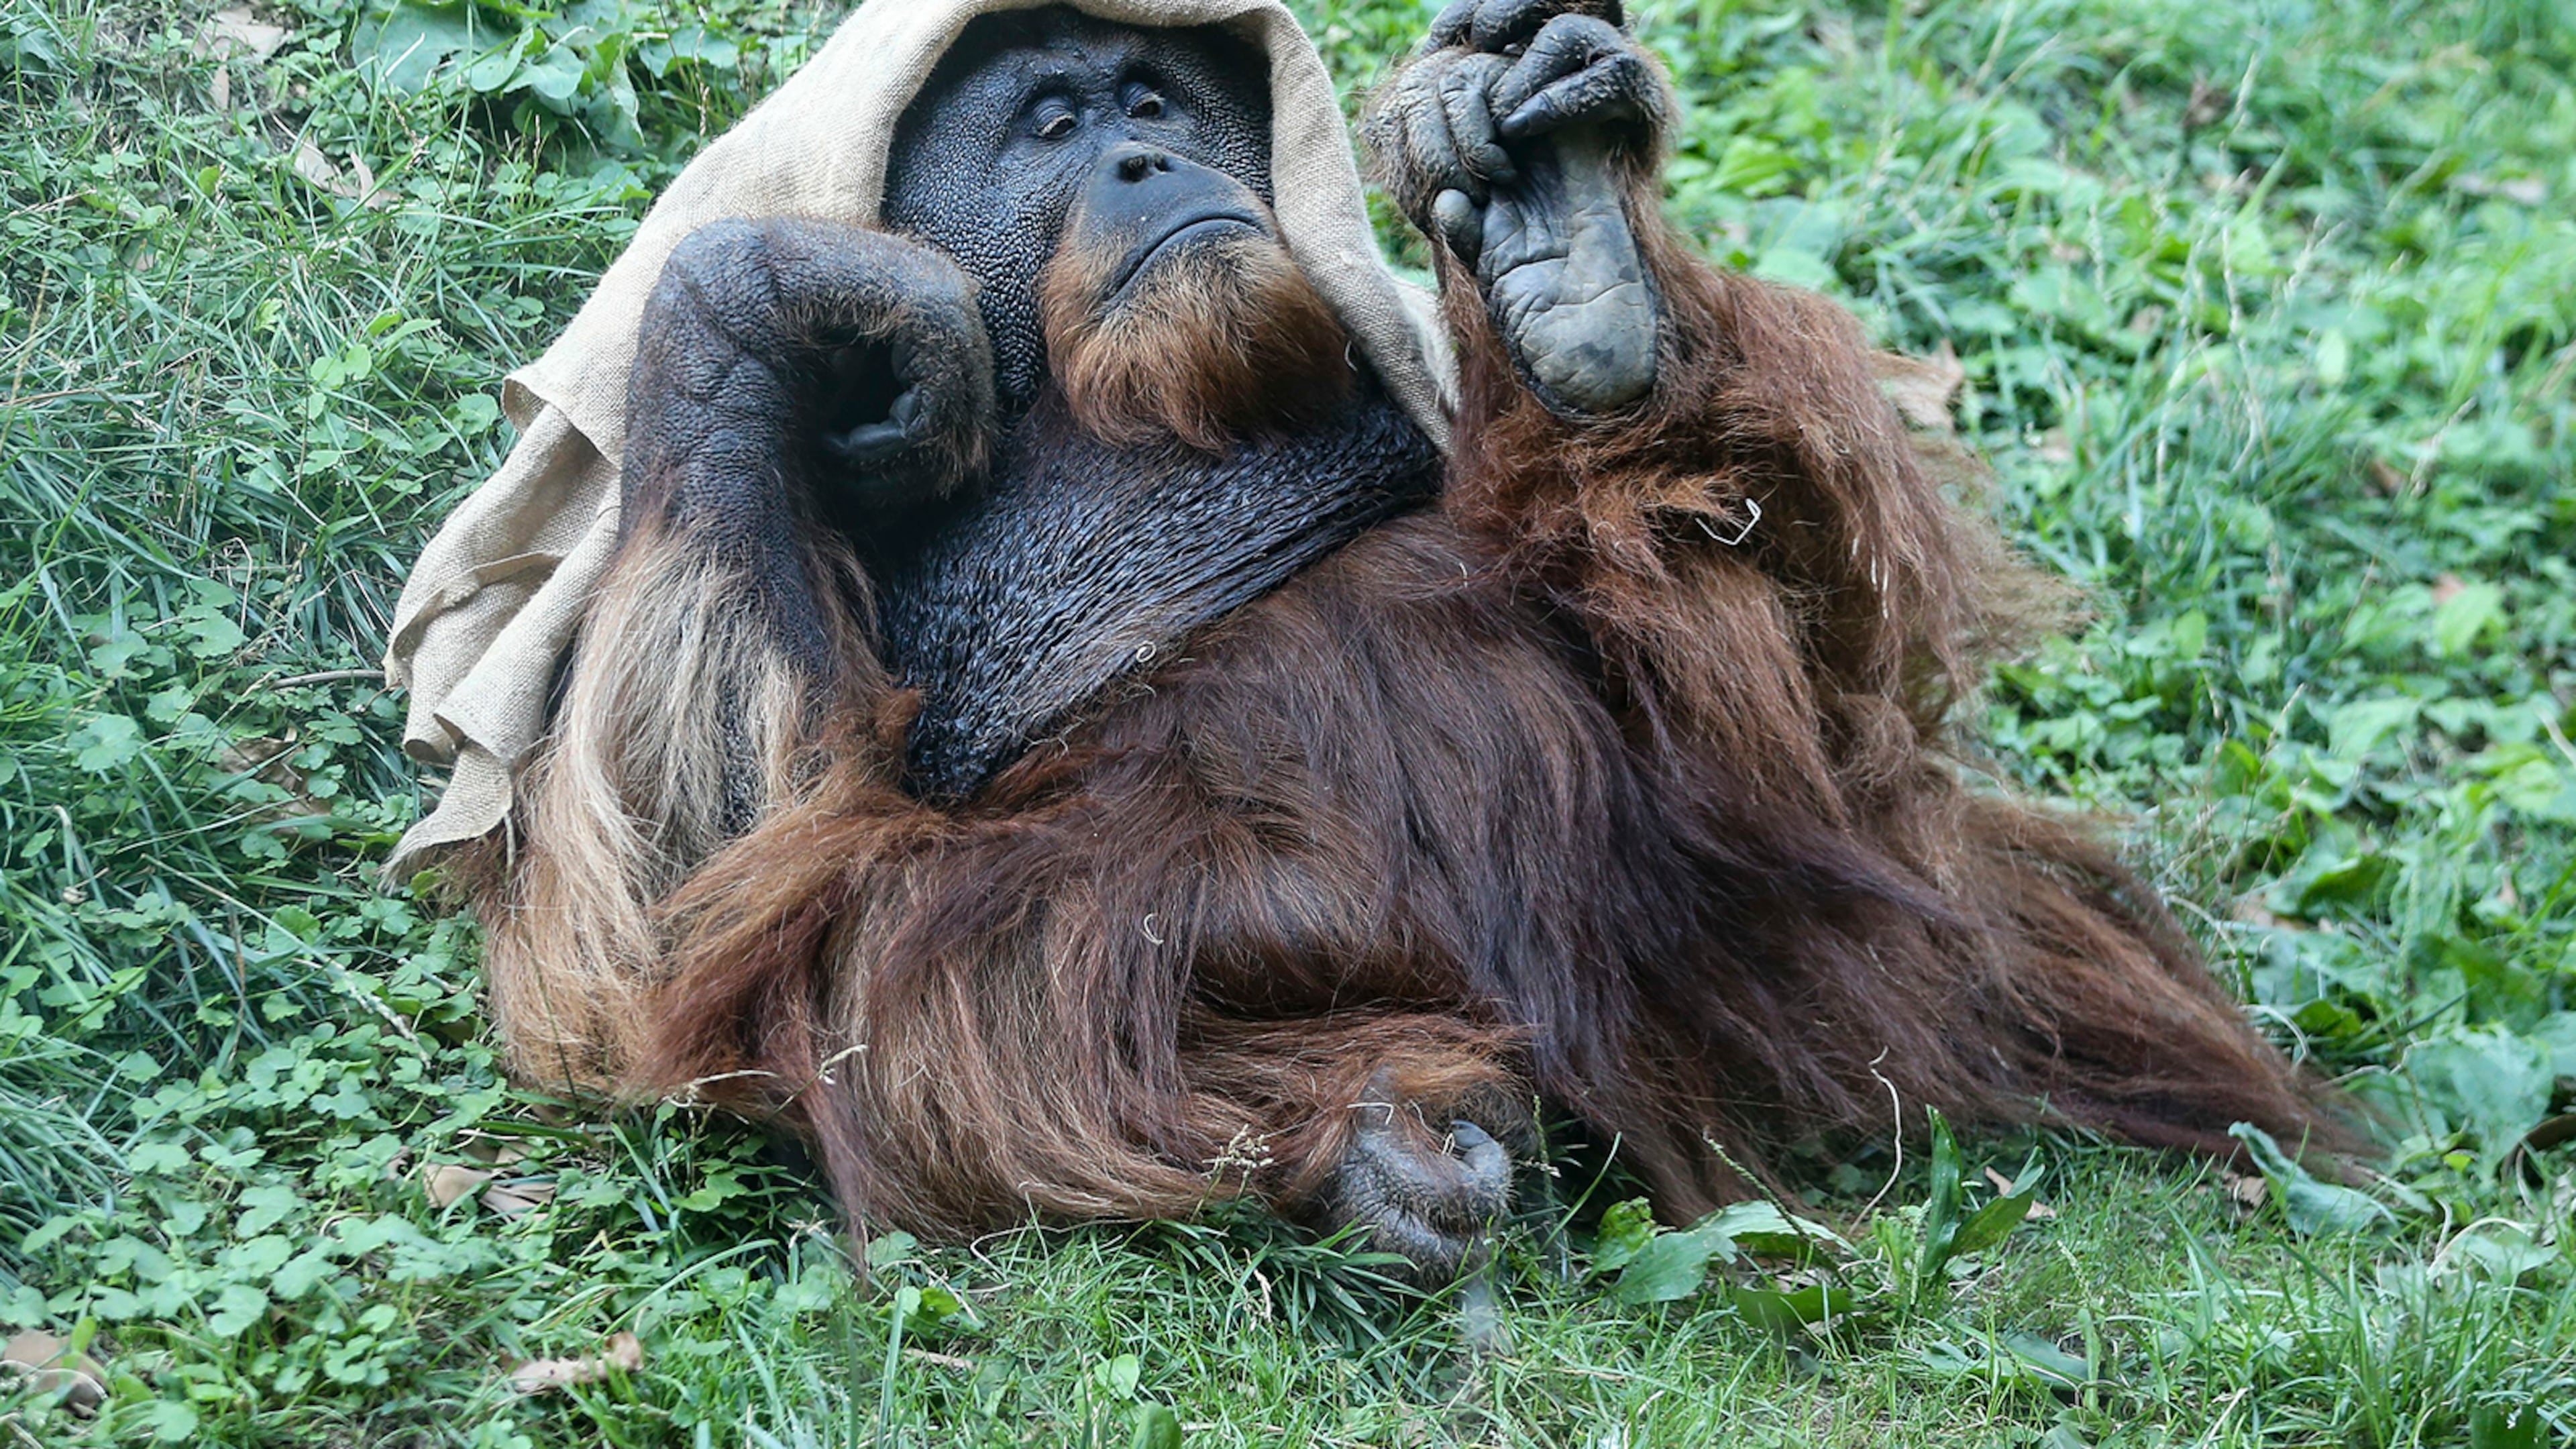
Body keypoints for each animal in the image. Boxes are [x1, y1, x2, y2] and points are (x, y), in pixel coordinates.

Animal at [470, 0, 2347, 1284]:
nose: (1146, 158)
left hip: (1834, 900)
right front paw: (773, 307)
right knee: (918, 969)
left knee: (1782, 699)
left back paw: (1582, 286)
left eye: (1149, 102)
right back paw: (1388, 1144)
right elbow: (681, 942)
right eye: (1055, 122)